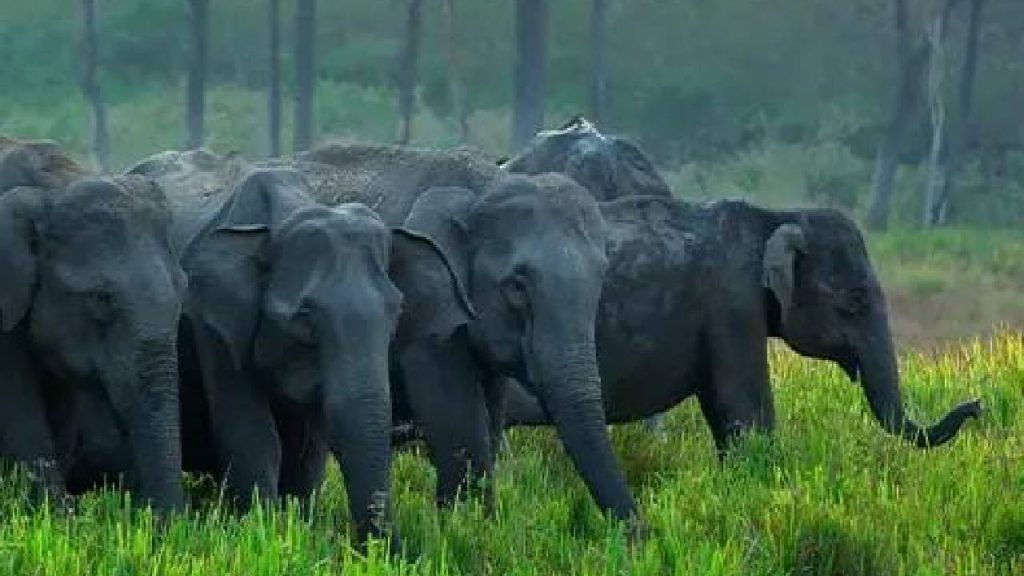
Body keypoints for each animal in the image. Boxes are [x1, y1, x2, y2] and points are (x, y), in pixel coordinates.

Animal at [0, 142, 187, 511]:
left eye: (183, 287)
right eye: (101, 299)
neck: (54, 186)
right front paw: (56, 512)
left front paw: (57, 512)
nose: (142, 508)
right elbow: (18, 402)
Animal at [287, 145, 641, 531]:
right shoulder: (431, 318)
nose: (637, 537)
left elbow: (490, 425)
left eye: (601, 277)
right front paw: (462, 530)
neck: (484, 187)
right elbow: (459, 426)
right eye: (517, 287)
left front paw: (475, 528)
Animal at [504, 196, 981, 452]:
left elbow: (725, 413)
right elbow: (746, 412)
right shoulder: (731, 306)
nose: (977, 406)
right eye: (856, 301)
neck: (775, 215)